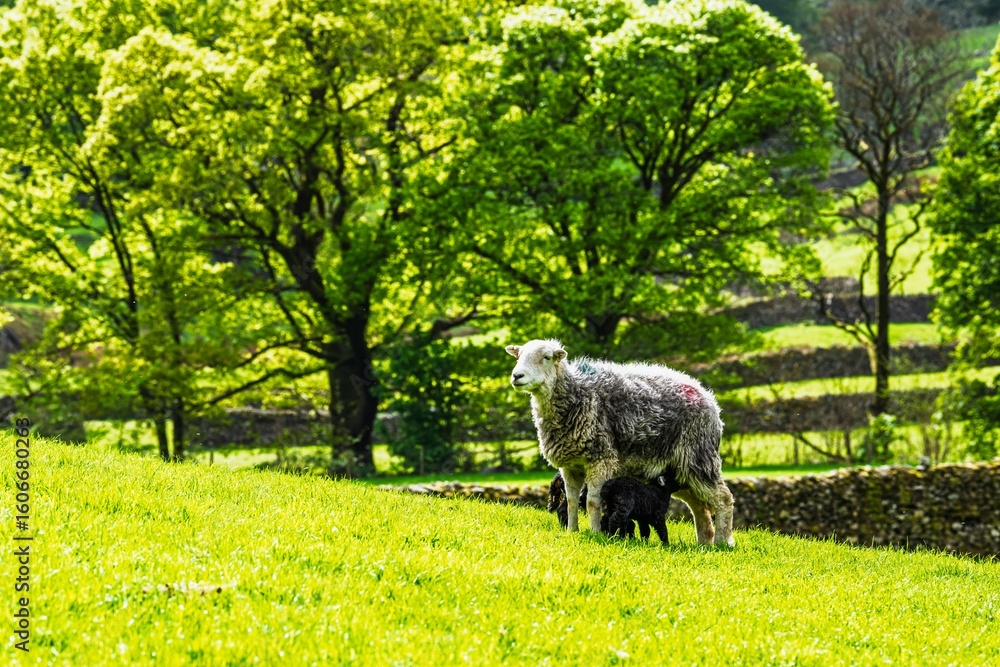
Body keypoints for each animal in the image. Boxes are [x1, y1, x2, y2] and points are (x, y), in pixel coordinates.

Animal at [506, 339, 735, 546]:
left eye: (546, 357)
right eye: (519, 355)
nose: (517, 376)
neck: (577, 393)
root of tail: (708, 397)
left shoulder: (601, 459)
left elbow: (592, 502)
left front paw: (595, 533)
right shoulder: (570, 465)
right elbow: (571, 502)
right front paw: (572, 531)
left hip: (698, 457)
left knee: (723, 498)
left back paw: (722, 543)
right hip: (678, 470)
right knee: (699, 507)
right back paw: (704, 543)